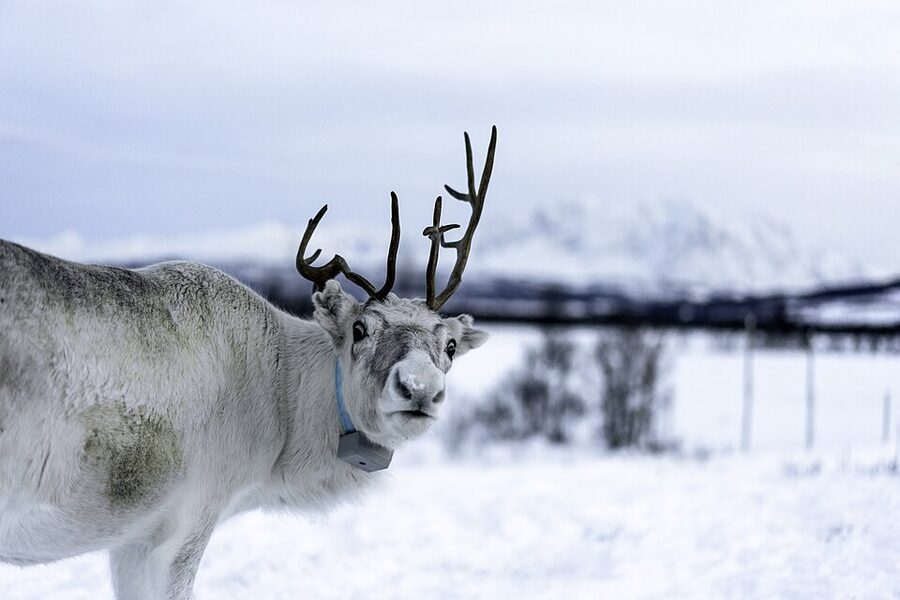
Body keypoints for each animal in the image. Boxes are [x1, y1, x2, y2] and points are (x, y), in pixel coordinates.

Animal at [0, 127, 497, 599]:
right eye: (360, 329)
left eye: (451, 346)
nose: (419, 387)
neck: (284, 405)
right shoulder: (186, 521)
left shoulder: (130, 539)